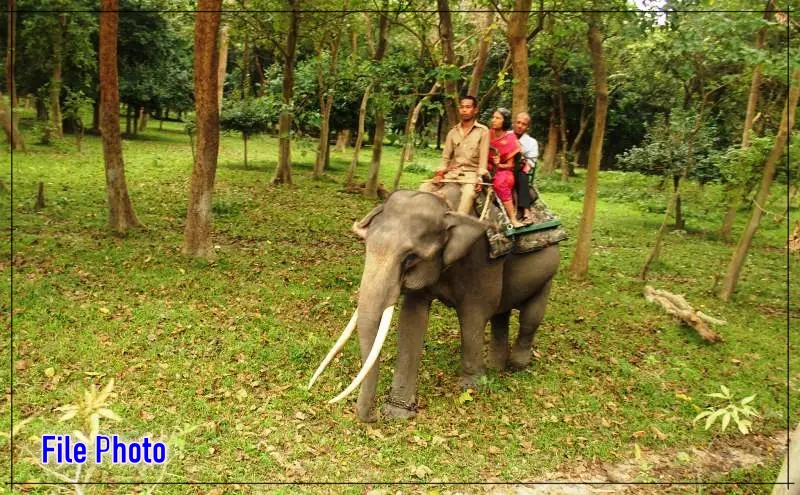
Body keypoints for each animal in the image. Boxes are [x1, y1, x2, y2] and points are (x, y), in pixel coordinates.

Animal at [310, 182, 560, 422]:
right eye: (367, 246)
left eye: (410, 258)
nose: (372, 418)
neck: (446, 206)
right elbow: (412, 321)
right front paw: (398, 412)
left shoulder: (482, 261)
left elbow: (473, 316)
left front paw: (471, 387)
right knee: (501, 316)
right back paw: (496, 368)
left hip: (549, 272)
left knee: (530, 317)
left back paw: (517, 365)